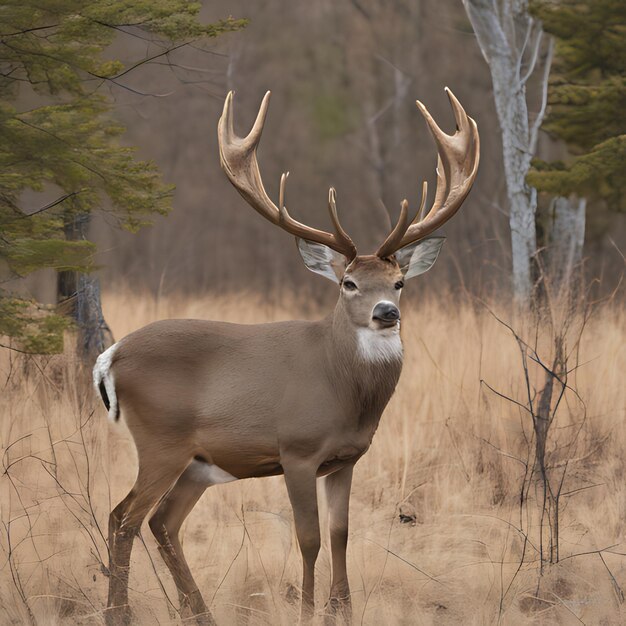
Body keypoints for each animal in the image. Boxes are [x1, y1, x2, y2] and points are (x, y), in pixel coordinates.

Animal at [94, 89, 478, 624]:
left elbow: (341, 534)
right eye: (348, 283)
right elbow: (309, 537)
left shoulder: (345, 458)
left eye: (400, 282)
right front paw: (308, 609)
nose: (386, 313)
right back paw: (120, 612)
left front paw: (342, 610)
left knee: (163, 523)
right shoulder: (297, 449)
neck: (342, 389)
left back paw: (200, 612)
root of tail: (110, 356)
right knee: (123, 517)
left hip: (197, 462)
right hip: (159, 439)